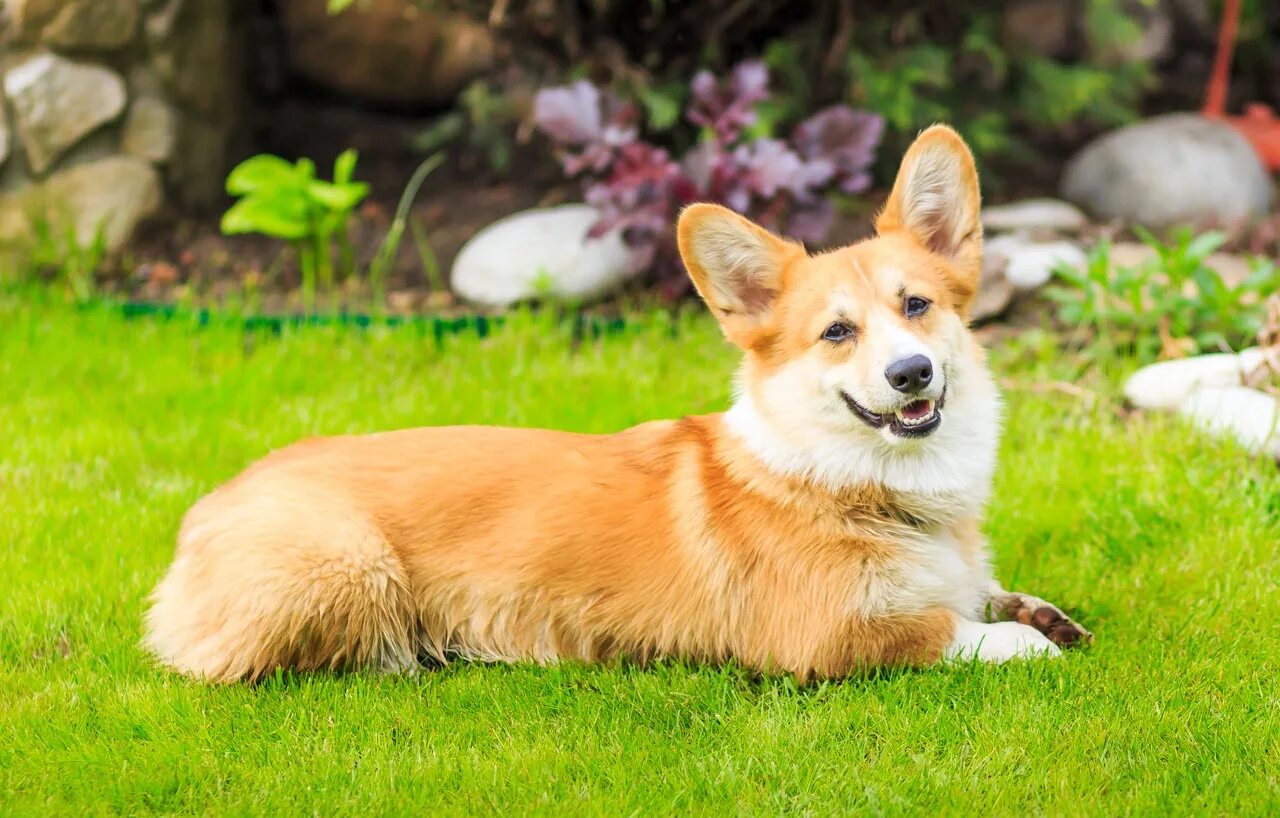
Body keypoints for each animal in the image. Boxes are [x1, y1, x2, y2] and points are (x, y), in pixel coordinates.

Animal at [147, 124, 1090, 681]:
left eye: (917, 306)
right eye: (836, 332)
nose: (911, 375)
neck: (865, 484)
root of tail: (209, 505)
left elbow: (988, 593)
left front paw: (1040, 611)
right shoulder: (824, 640)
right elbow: (953, 632)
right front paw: (1028, 641)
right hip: (348, 570)